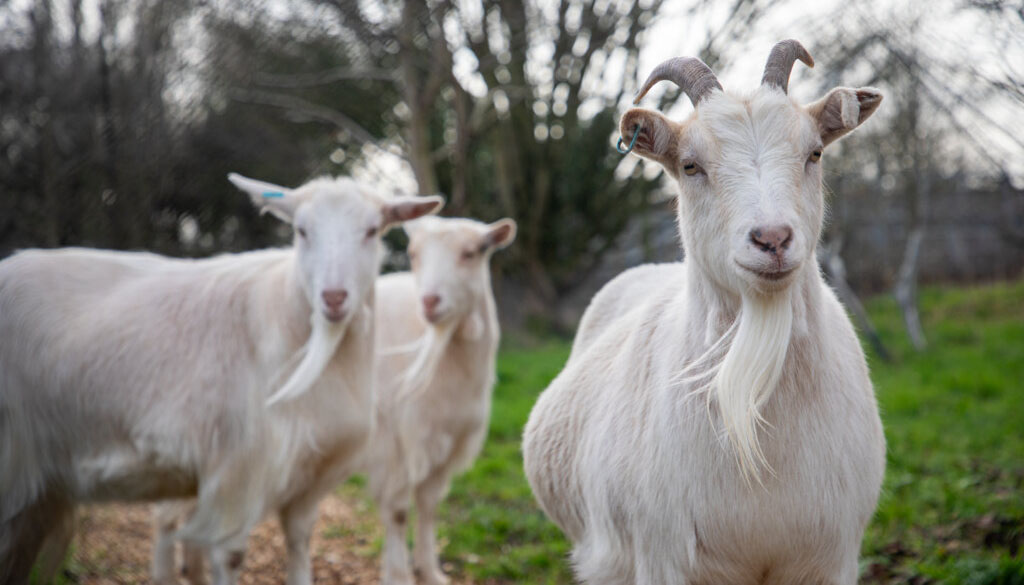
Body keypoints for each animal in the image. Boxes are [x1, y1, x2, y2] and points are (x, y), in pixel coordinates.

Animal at [0, 174, 442, 585]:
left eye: (371, 230)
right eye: (301, 230)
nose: (333, 298)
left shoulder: (311, 473)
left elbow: (300, 543)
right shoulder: (237, 469)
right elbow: (229, 556)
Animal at [367, 215, 516, 585]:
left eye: (472, 252)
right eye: (413, 253)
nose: (430, 301)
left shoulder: (449, 439)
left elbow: (429, 505)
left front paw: (430, 570)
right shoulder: (393, 442)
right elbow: (398, 511)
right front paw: (398, 575)